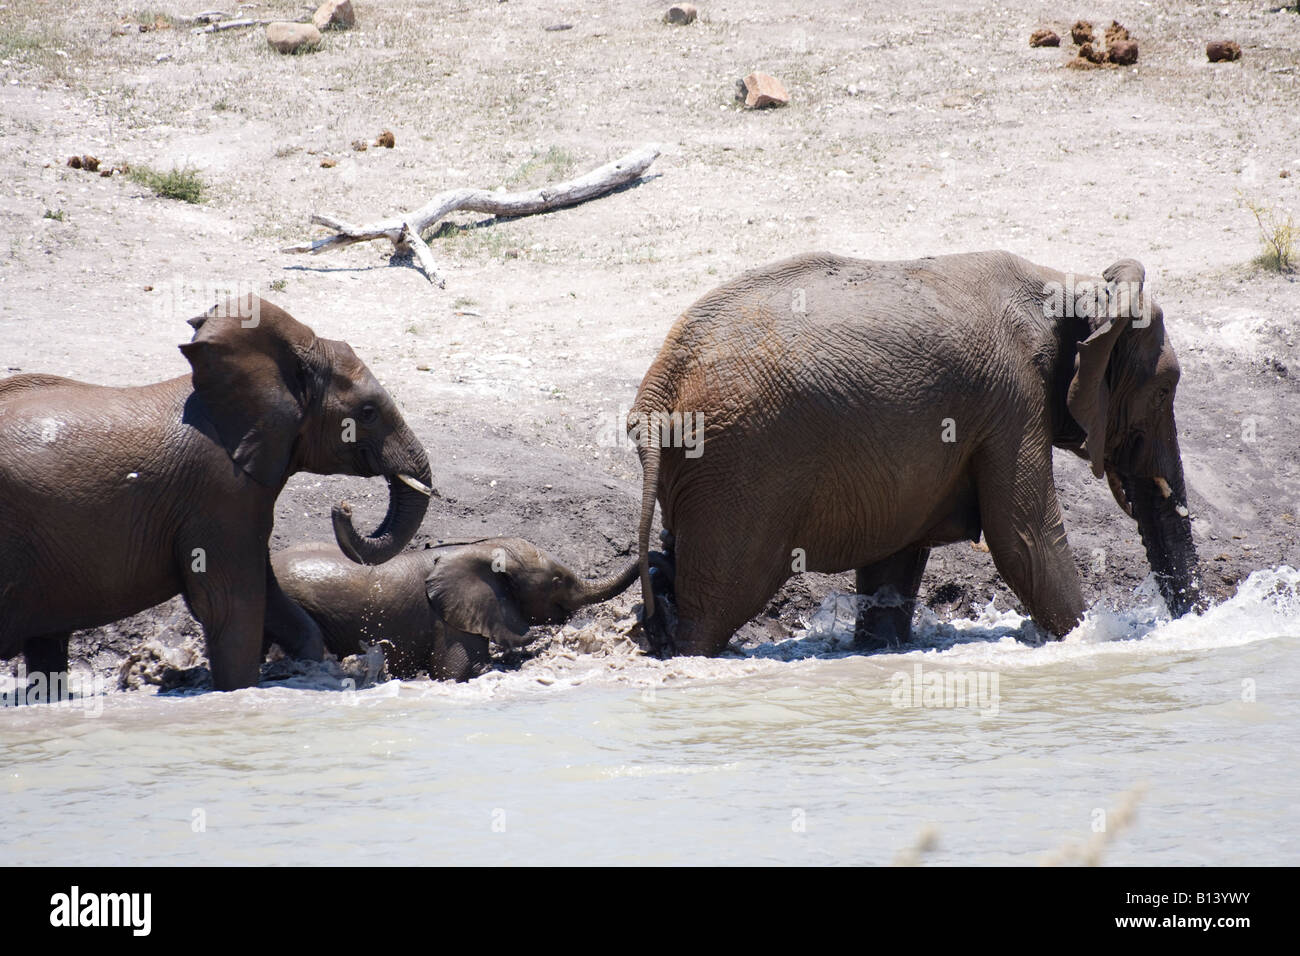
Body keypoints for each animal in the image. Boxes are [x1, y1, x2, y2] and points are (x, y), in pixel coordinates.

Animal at [0, 295, 432, 691]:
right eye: (368, 412)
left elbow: (269, 597)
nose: (342, 508)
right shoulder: (218, 489)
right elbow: (231, 603)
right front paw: (240, 691)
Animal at [628, 250, 1202, 657]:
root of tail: (660, 385)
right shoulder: (1012, 401)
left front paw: (878, 647)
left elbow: (895, 558)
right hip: (740, 466)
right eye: (1164, 392)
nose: (1191, 620)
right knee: (719, 602)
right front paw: (1092, 642)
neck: (1074, 287)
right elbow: (1025, 539)